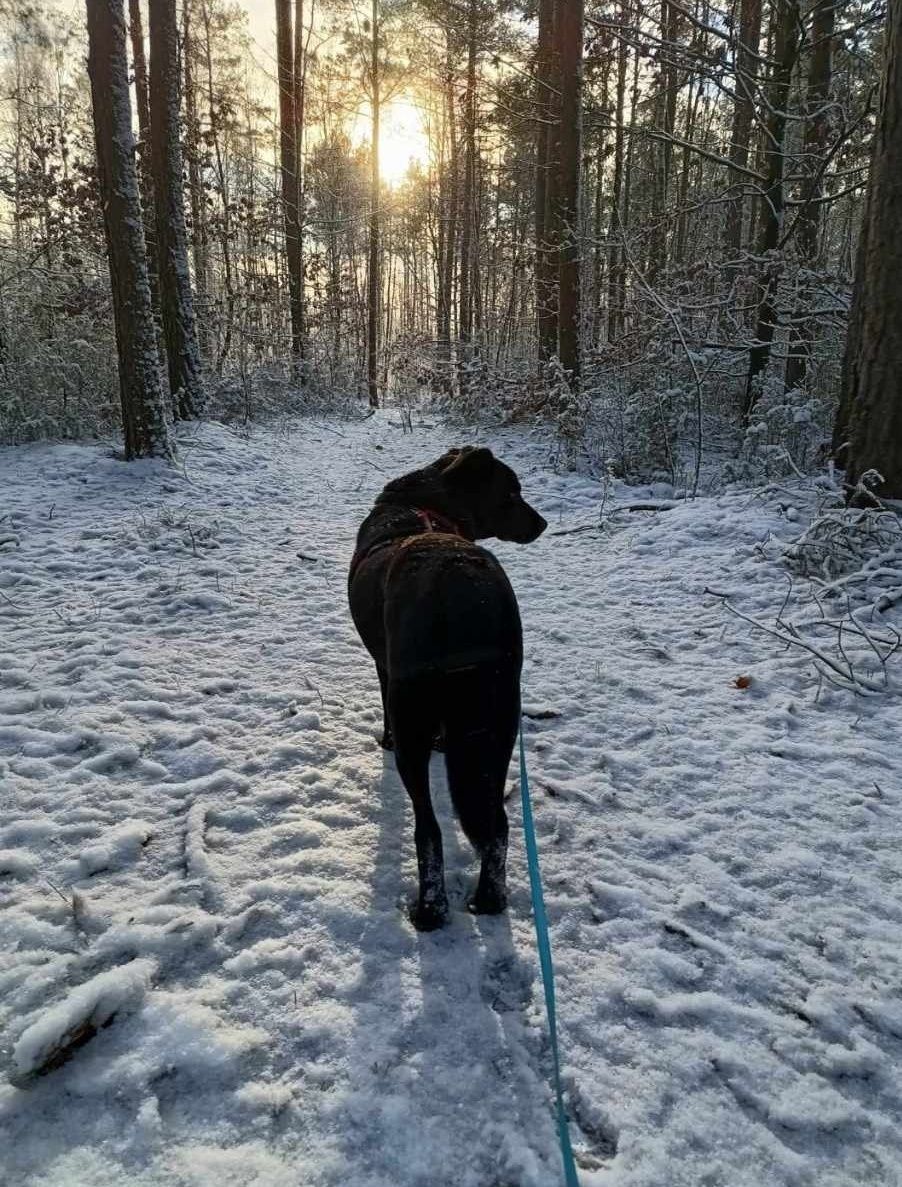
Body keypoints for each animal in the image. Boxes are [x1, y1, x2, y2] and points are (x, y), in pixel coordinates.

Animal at [346, 446, 545, 925]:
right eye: (513, 492)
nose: (542, 524)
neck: (426, 505)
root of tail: (461, 590)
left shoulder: (384, 668)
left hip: (413, 719)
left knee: (429, 828)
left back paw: (430, 910)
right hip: (498, 725)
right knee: (496, 825)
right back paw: (489, 900)